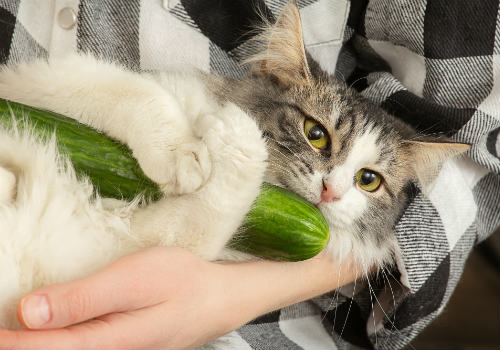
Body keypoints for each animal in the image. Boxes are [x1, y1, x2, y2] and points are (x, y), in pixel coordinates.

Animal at [0, 2, 468, 330]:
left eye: (368, 180)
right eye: (316, 134)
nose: (330, 190)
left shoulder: (131, 245)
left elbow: (214, 206)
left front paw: (235, 131)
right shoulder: (37, 83)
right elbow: (134, 93)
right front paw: (183, 151)